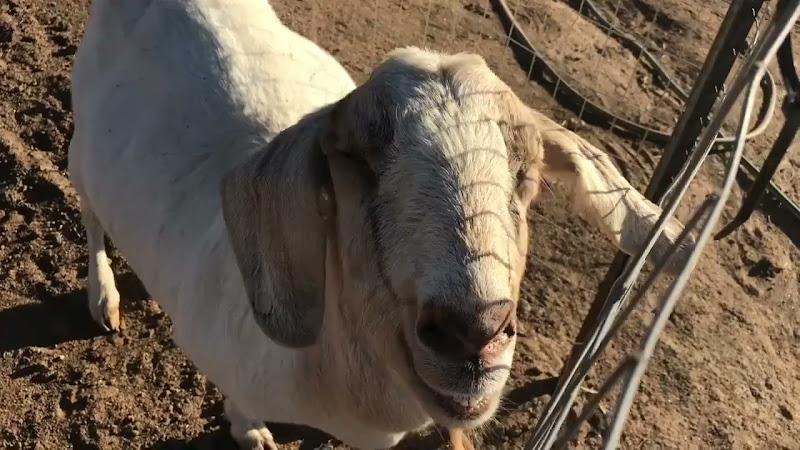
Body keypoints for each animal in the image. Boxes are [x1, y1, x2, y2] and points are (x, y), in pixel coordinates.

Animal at [68, 1, 691, 449]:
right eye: (357, 162)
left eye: (527, 173)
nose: (473, 332)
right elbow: (239, 405)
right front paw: (251, 433)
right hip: (83, 147)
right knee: (91, 211)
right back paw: (104, 296)